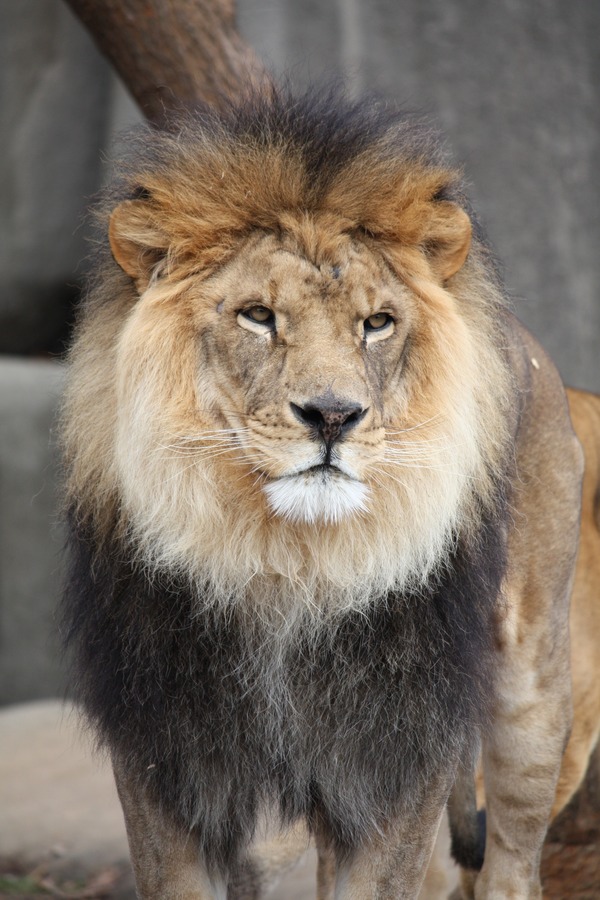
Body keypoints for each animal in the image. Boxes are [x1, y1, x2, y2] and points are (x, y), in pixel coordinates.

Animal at [61, 86, 596, 900]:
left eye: (376, 324)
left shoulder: (397, 746)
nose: (334, 416)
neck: (289, 564)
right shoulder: (169, 750)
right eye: (258, 315)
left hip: (534, 683)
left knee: (510, 858)